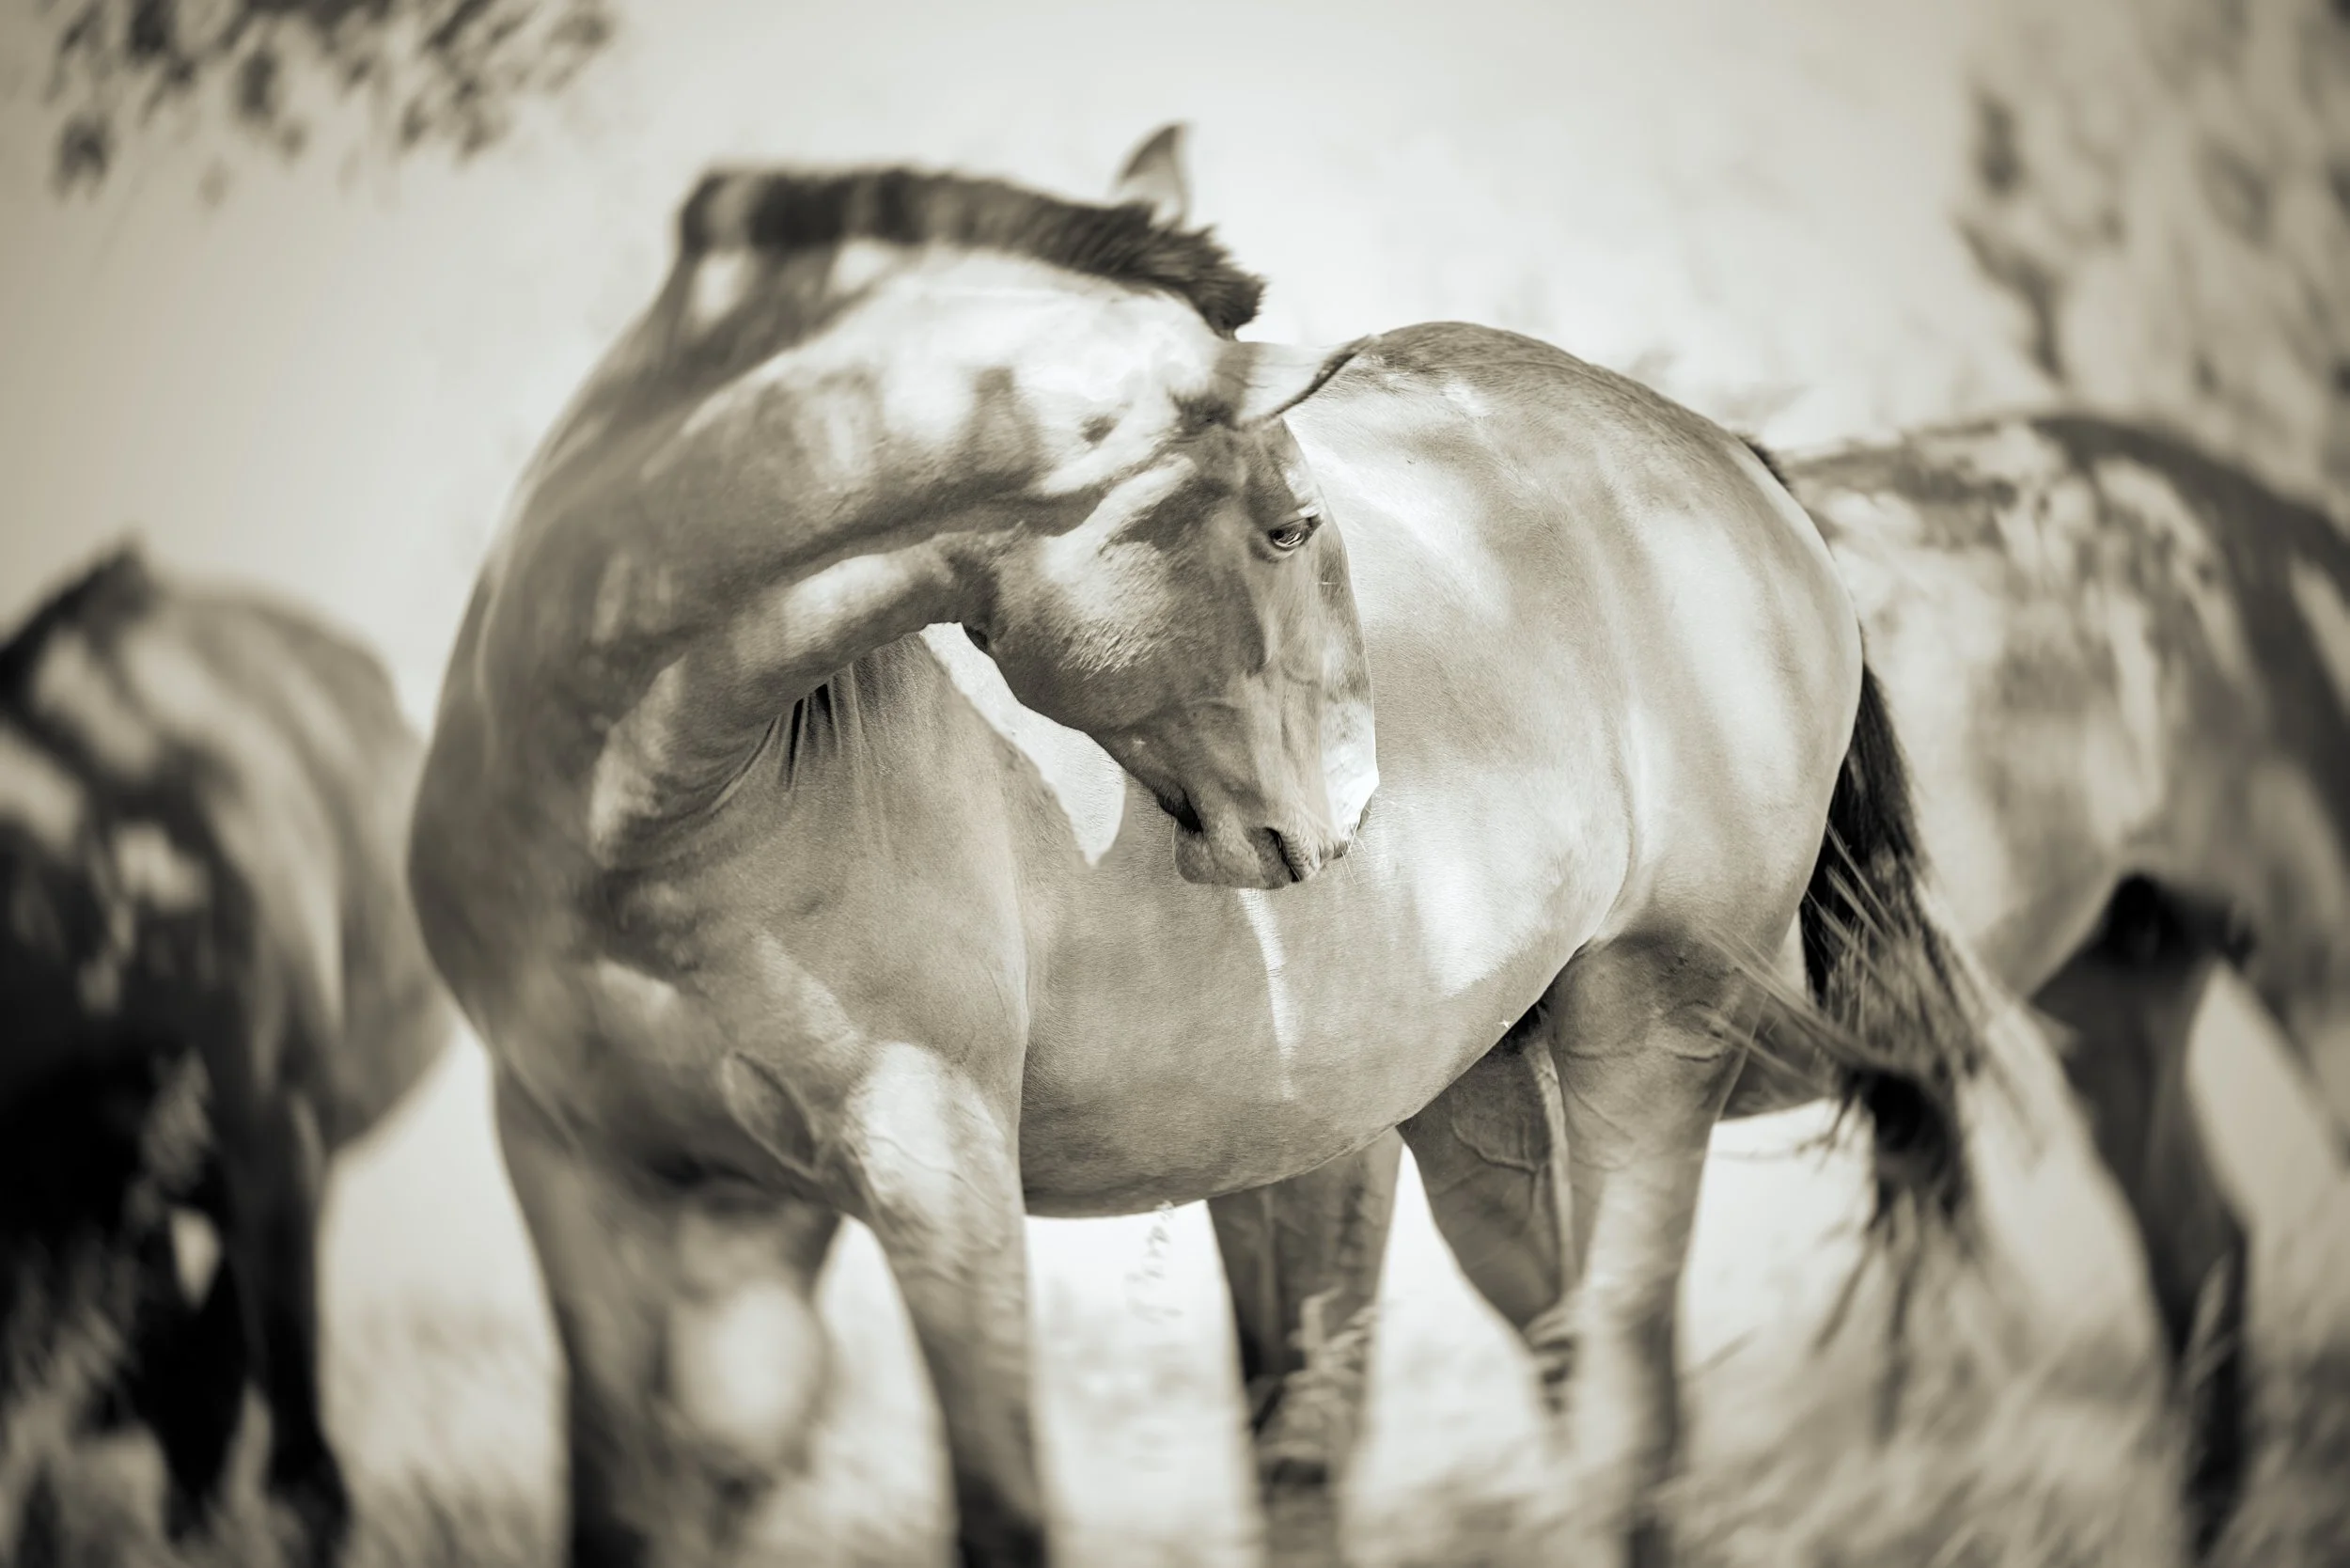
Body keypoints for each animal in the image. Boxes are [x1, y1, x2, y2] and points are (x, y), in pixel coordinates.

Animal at [404, 131, 1995, 1568]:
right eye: (1290, 528)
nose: (1350, 805)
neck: (642, 821)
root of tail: (1735, 465)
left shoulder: (933, 1161)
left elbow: (1003, 1513)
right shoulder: (585, 1170)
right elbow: (632, 1504)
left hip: (1649, 1036)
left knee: (1621, 1417)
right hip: (1475, 1115)